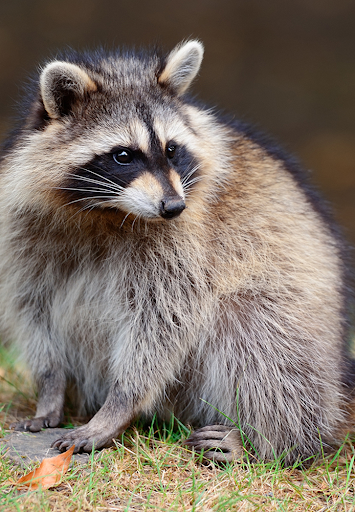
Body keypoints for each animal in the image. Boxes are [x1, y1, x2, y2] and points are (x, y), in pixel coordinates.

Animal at [0, 41, 354, 464]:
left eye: (172, 150)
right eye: (123, 155)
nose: (173, 207)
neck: (106, 211)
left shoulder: (186, 244)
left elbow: (163, 322)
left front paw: (119, 405)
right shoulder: (25, 231)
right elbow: (33, 309)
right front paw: (49, 389)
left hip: (303, 329)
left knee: (254, 333)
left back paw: (269, 441)